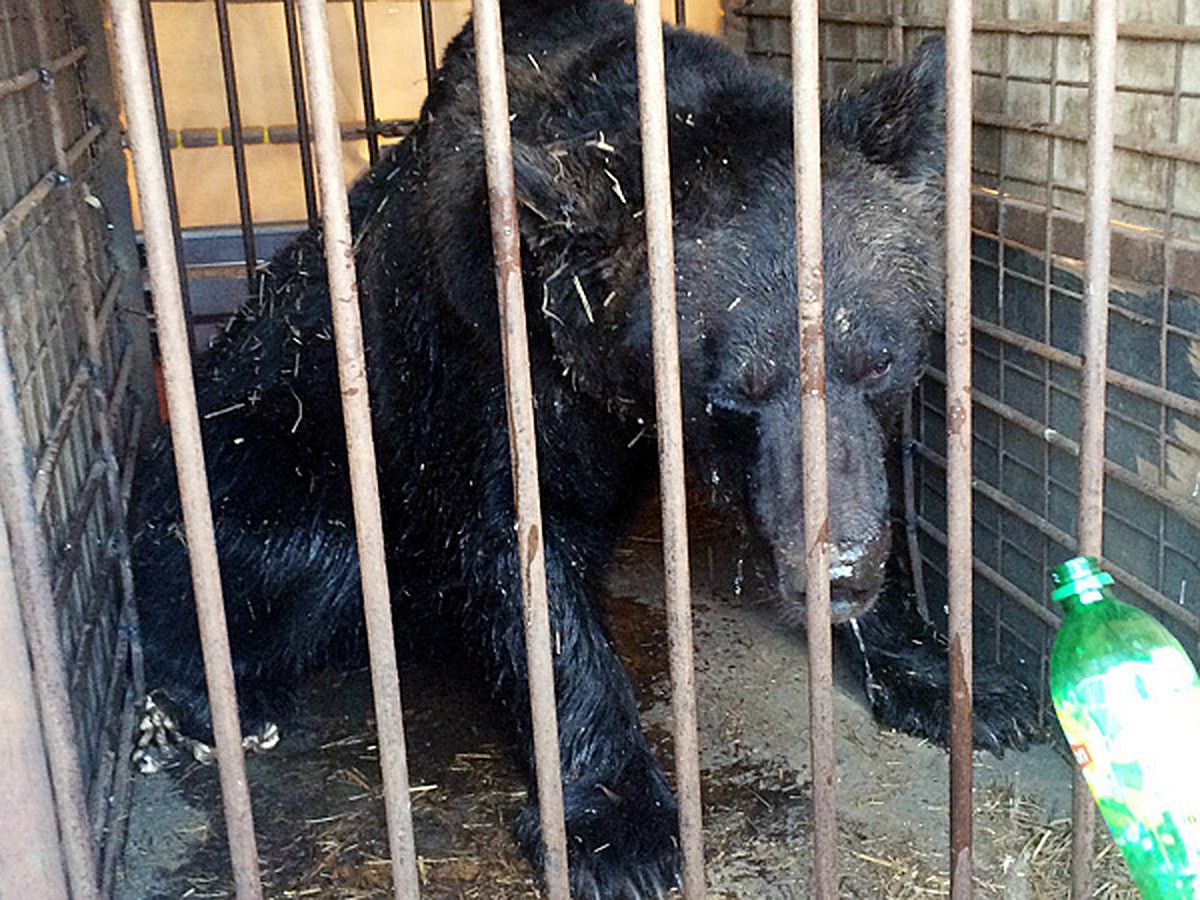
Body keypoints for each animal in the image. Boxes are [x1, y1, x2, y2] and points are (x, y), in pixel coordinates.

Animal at [129, 3, 1032, 897]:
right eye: (730, 390)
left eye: (882, 360)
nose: (840, 573)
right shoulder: (483, 346)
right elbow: (519, 555)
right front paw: (619, 828)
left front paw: (965, 685)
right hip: (266, 460)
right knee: (280, 556)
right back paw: (215, 709)